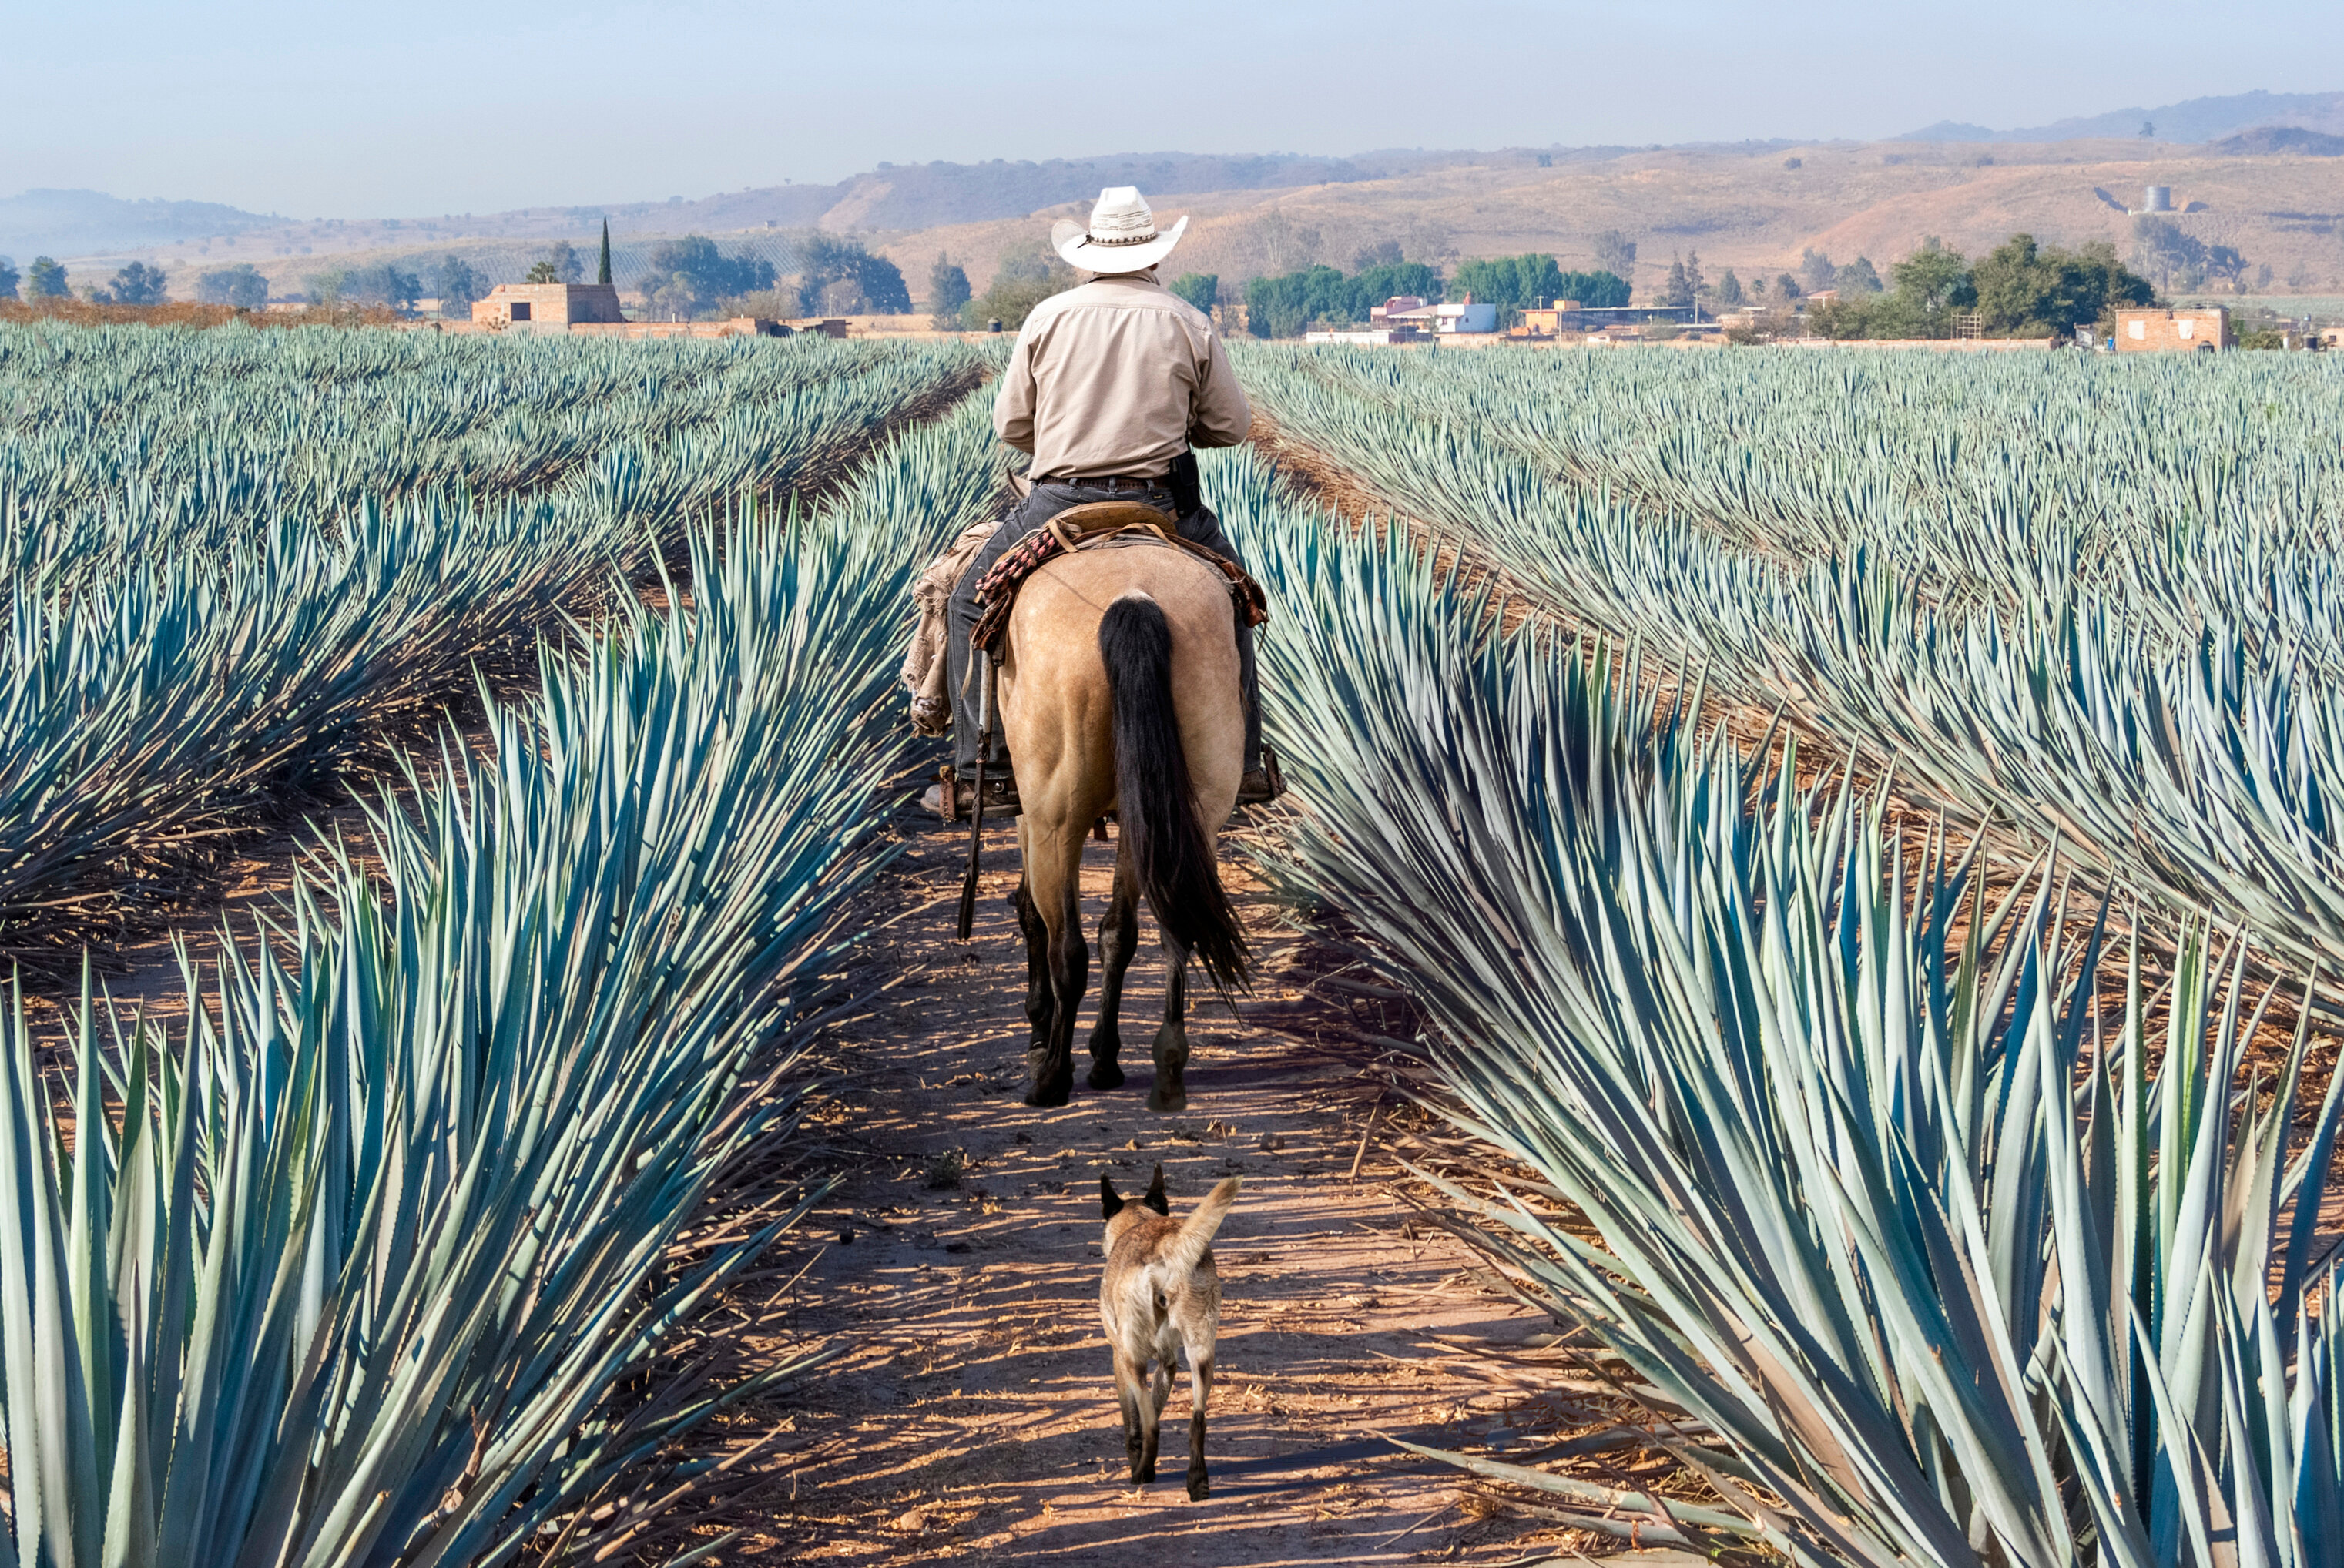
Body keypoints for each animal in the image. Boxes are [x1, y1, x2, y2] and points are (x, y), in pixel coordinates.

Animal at [994, 538, 1251, 1111]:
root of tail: (1134, 598)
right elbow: (1119, 932)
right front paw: (1103, 1056)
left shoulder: (1031, 813)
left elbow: (1031, 915)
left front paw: (1039, 1032)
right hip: (1182, 808)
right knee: (1170, 926)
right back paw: (1164, 1066)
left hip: (1057, 818)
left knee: (1067, 948)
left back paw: (1051, 1078)